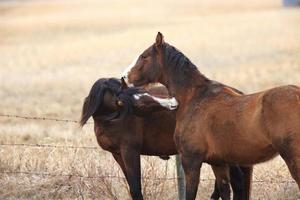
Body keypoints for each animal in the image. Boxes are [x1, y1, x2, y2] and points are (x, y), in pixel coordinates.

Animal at [80, 77, 248, 200]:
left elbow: (136, 188)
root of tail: (236, 94)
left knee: (236, 183)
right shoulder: (118, 155)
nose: (172, 103)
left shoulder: (130, 152)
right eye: (141, 102)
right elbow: (131, 185)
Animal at [125, 32, 300, 200]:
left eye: (144, 56)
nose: (125, 78)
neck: (193, 98)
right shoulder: (218, 163)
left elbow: (191, 194)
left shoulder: (191, 162)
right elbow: (224, 192)